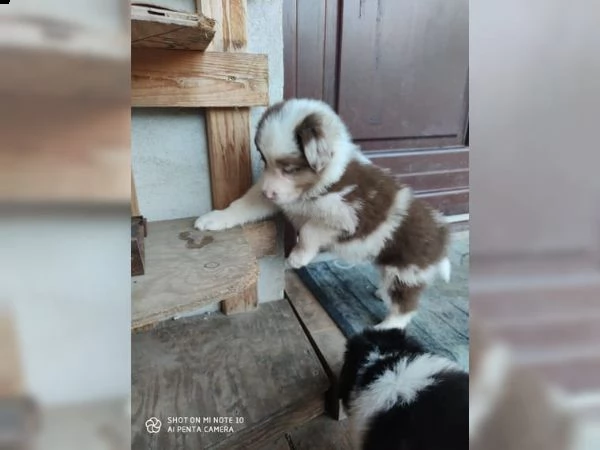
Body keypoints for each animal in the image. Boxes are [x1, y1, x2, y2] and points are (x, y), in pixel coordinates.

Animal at [197, 98, 450, 326]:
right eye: (264, 160)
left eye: (290, 169)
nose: (268, 193)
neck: (322, 181)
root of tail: (441, 234)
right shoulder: (275, 197)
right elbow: (242, 206)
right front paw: (214, 219)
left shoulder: (349, 217)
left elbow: (310, 229)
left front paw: (297, 258)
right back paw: (380, 293)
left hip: (405, 273)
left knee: (405, 308)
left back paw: (385, 327)